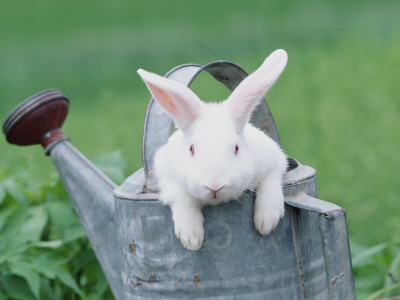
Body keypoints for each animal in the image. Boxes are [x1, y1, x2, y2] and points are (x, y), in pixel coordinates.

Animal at [138, 49, 288, 251]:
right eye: (191, 149)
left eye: (236, 148)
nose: (214, 186)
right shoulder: (165, 175)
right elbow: (182, 197)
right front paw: (191, 237)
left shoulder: (275, 159)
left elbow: (271, 181)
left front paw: (266, 221)